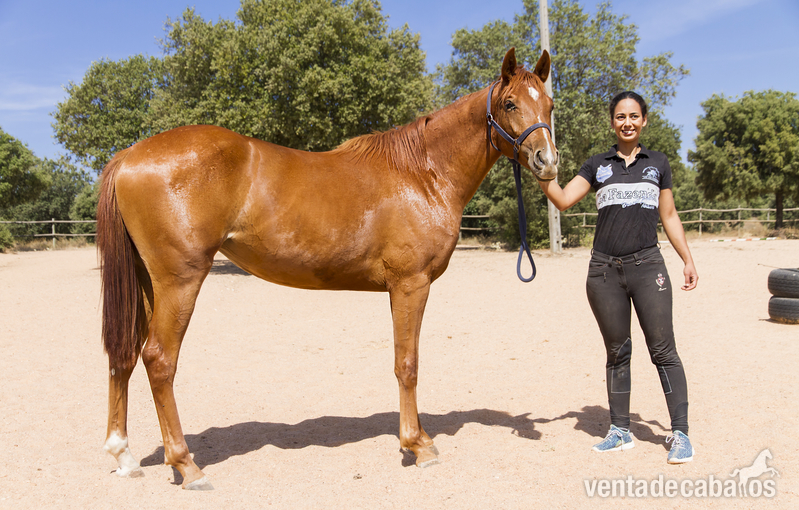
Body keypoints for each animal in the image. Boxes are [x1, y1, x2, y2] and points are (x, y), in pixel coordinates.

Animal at [97, 47, 558, 490]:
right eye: (510, 103)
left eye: (550, 104)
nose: (547, 162)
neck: (422, 173)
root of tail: (130, 155)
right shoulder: (411, 284)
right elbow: (407, 363)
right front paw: (418, 445)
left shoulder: (400, 288)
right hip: (180, 280)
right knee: (159, 360)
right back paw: (187, 466)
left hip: (147, 284)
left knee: (124, 354)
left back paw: (123, 456)